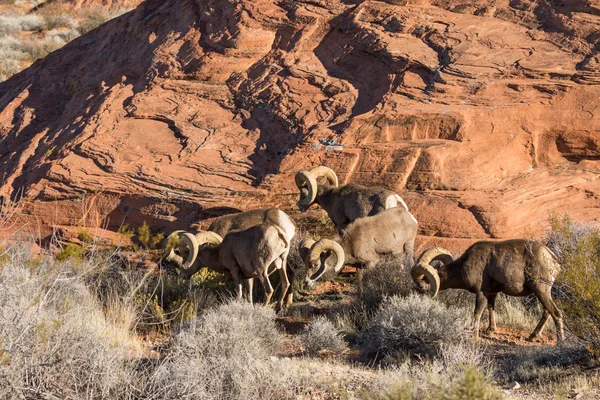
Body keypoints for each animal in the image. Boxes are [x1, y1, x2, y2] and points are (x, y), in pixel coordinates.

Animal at [162, 223, 292, 310]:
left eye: (185, 255)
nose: (182, 274)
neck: (219, 253)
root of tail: (278, 233)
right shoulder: (249, 277)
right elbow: (249, 296)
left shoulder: (235, 272)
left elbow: (239, 294)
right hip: (282, 265)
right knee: (286, 284)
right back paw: (277, 309)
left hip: (262, 270)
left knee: (269, 290)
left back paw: (263, 309)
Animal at [410, 239, 564, 342]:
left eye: (422, 285)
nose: (418, 292)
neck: (463, 267)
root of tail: (553, 260)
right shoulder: (492, 293)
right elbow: (491, 308)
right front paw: (490, 331)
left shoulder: (481, 293)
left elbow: (477, 314)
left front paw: (474, 337)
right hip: (542, 293)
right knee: (547, 312)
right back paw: (532, 337)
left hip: (541, 290)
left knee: (556, 313)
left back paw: (560, 341)